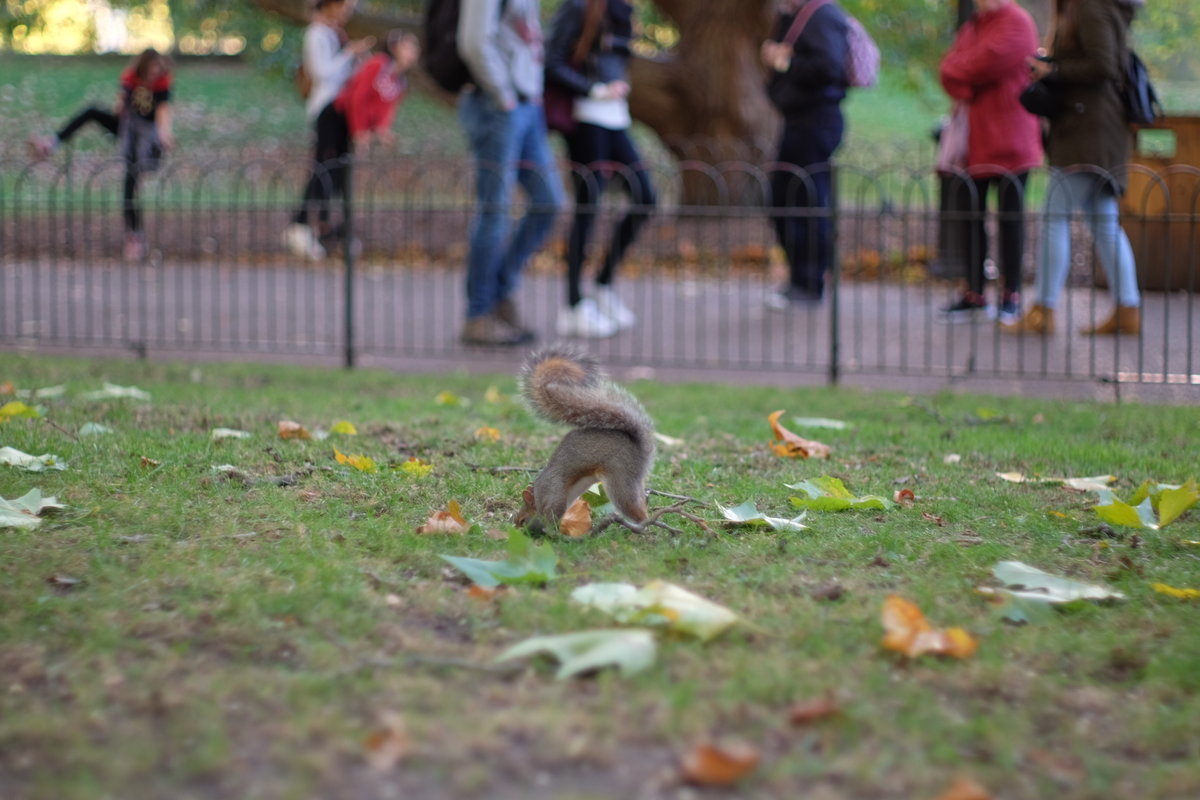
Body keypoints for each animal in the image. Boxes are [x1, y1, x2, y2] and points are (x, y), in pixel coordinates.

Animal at [516, 345, 657, 532]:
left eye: (522, 520)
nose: (516, 529)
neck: (539, 498)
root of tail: (640, 446)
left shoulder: (554, 495)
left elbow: (554, 514)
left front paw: (553, 530)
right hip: (632, 480)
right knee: (641, 498)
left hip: (620, 479)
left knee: (636, 509)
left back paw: (642, 525)